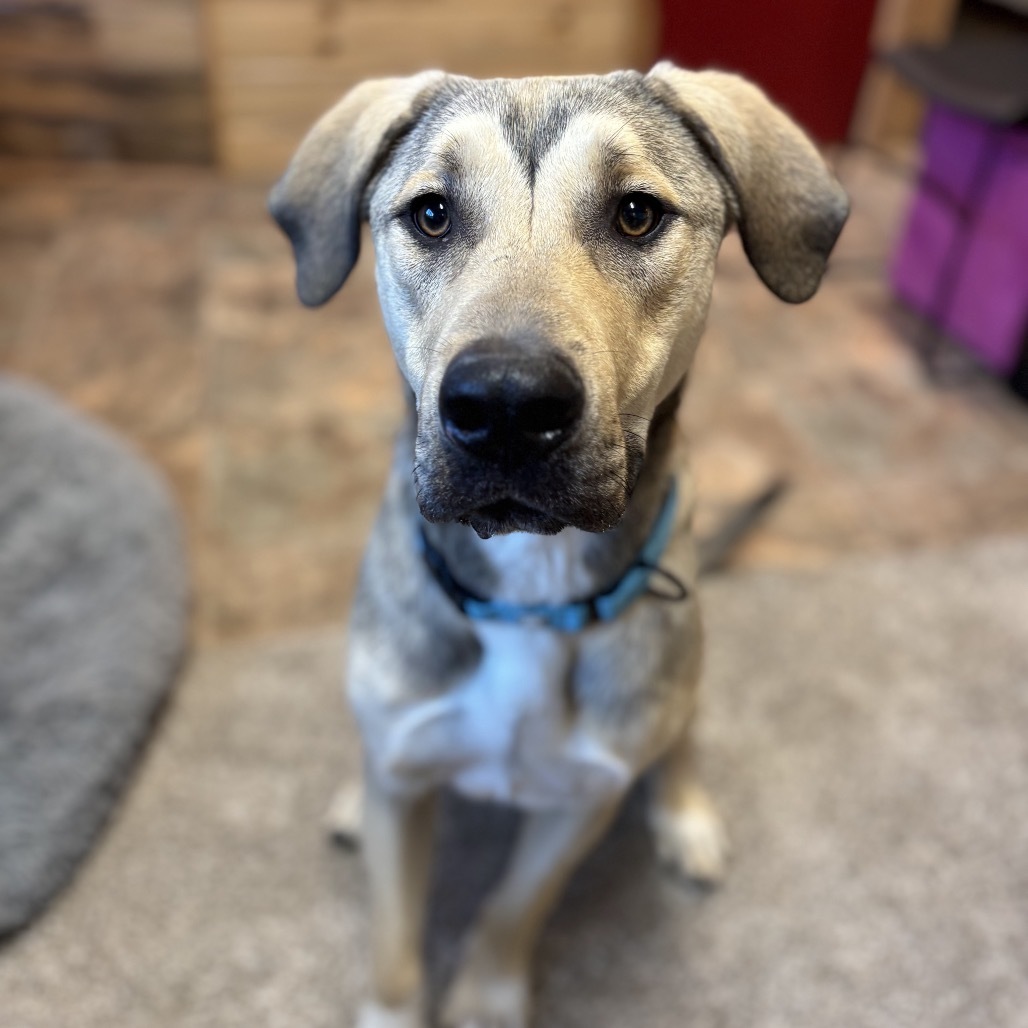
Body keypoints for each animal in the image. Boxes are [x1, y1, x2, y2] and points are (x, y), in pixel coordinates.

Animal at [269, 60, 847, 1023]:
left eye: (637, 212)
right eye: (432, 213)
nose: (505, 404)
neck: (532, 594)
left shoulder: (581, 801)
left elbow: (515, 904)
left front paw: (486, 996)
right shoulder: (407, 786)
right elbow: (394, 945)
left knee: (681, 731)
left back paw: (684, 812)